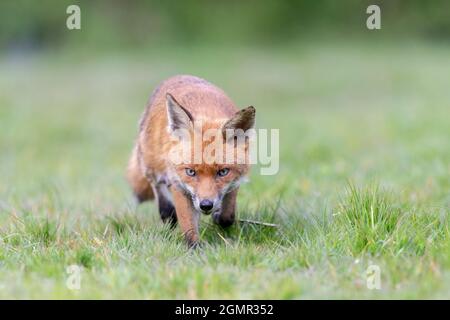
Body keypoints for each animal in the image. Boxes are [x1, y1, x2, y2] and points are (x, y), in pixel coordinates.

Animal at [126, 75, 255, 248]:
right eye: (191, 172)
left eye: (223, 172)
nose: (206, 205)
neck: (205, 109)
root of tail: (179, 76)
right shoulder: (178, 183)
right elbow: (188, 224)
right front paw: (194, 248)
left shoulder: (235, 182)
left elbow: (228, 216)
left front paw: (219, 216)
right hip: (152, 168)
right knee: (163, 203)